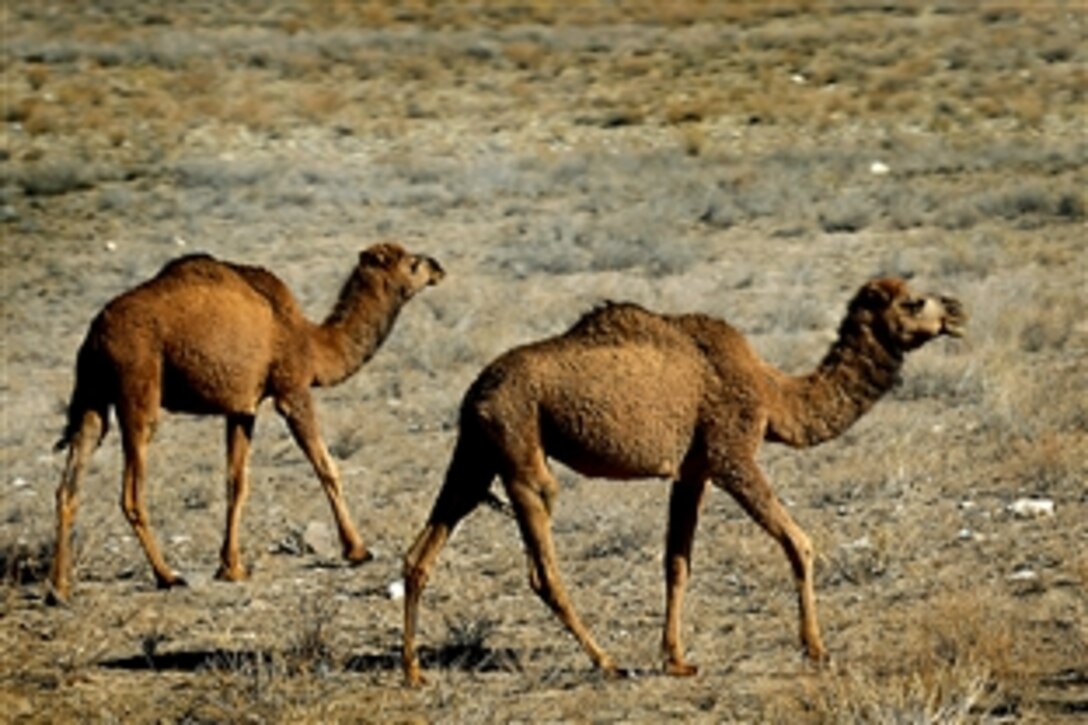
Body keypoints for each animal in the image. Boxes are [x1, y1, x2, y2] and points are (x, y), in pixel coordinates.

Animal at [47, 239, 446, 600]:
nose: (438, 267)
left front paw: (232, 567)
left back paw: (59, 588)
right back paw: (167, 576)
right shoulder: (292, 390)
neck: (312, 342)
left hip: (92, 398)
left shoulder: (242, 408)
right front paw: (358, 550)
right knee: (131, 492)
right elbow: (326, 467)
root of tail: (95, 333)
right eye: (412, 263)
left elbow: (236, 484)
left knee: (69, 483)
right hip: (138, 389)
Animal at [404, 276, 966, 683]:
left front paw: (676, 659)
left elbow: (677, 563)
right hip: (521, 448)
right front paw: (817, 650)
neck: (773, 391)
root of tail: (477, 389)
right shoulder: (732, 453)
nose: (957, 312)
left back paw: (413, 672)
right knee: (542, 567)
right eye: (914, 302)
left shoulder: (693, 471)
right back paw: (607, 661)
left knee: (421, 553)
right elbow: (799, 543)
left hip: (476, 450)